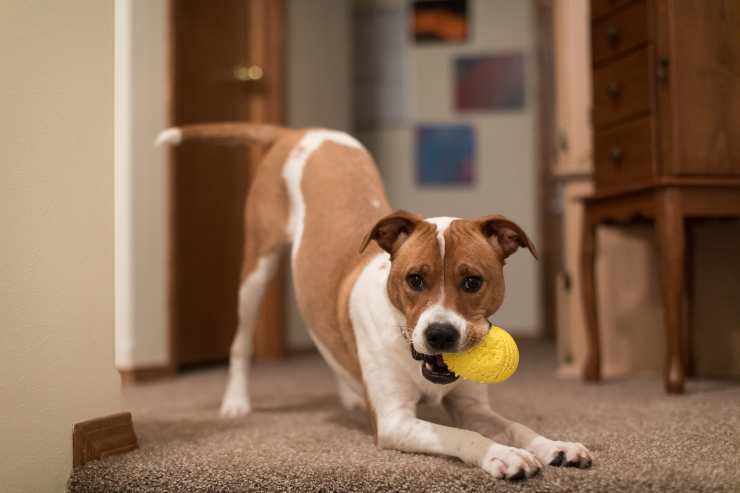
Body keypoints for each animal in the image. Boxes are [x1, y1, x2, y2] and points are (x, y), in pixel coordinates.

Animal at [158, 124, 596, 480]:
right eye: (415, 279)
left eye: (473, 281)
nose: (440, 334)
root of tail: (297, 131)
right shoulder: (395, 421)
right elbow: (461, 436)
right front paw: (502, 455)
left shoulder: (472, 405)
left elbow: (515, 426)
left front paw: (555, 445)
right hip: (256, 268)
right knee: (241, 340)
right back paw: (236, 402)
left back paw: (349, 394)